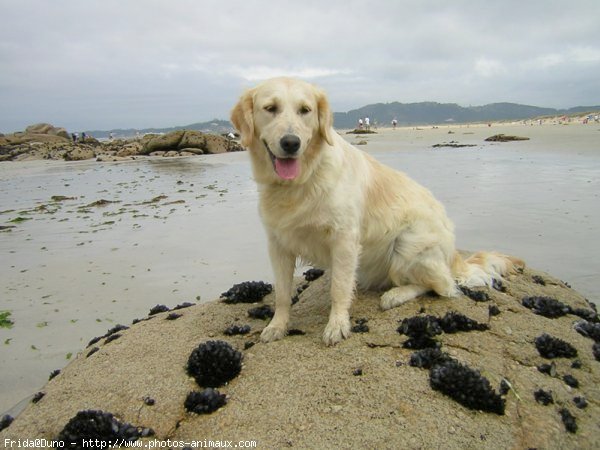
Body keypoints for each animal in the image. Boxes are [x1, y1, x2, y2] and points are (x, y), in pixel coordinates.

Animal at [232, 77, 524, 344]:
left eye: (305, 110)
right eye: (270, 108)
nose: (291, 143)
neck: (302, 181)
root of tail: (454, 254)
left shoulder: (345, 238)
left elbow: (339, 289)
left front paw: (337, 325)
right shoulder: (278, 244)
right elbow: (282, 293)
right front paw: (277, 326)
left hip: (408, 244)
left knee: (442, 285)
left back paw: (395, 295)